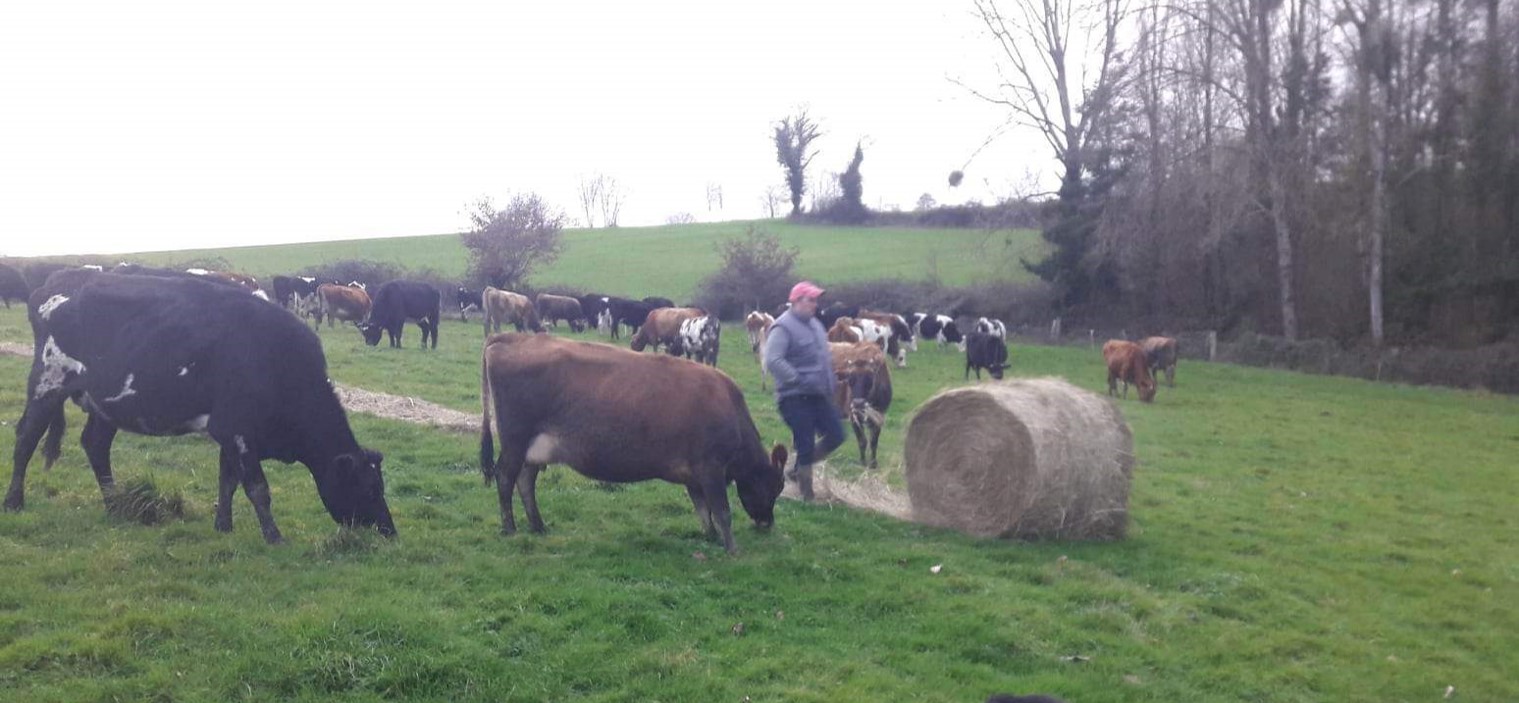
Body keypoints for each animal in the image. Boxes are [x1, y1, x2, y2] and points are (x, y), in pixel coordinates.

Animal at [4, 271, 397, 543]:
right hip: (47, 383)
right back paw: (13, 502)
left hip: (106, 404)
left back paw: (114, 505)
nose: (389, 530)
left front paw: (223, 525)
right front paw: (274, 537)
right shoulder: (239, 431)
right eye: (370, 489)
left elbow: (228, 481)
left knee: (95, 445)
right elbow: (258, 488)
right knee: (26, 438)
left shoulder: (229, 429)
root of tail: (55, 282)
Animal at [473, 332, 789, 552]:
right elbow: (722, 511)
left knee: (525, 480)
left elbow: (702, 508)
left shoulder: (694, 475)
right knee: (505, 477)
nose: (767, 524)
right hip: (515, 441)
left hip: (535, 448)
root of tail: (513, 336)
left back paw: (537, 525)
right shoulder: (710, 467)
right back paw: (510, 527)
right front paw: (732, 548)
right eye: (775, 487)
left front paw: (709, 536)